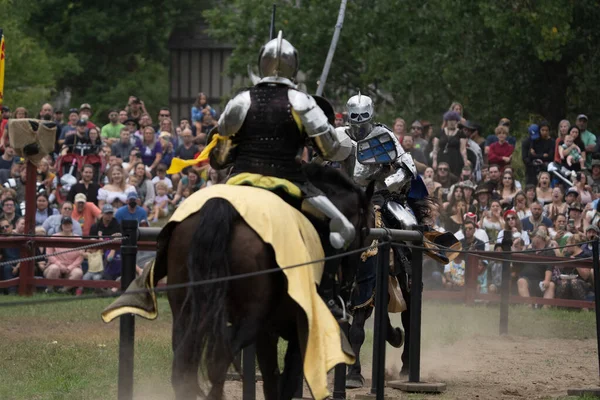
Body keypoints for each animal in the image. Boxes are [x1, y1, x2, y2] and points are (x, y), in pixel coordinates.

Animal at [157, 163, 376, 400]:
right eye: (365, 231)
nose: (350, 289)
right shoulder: (297, 331)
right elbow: (287, 381)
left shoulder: (266, 333)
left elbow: (272, 380)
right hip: (248, 320)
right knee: (217, 361)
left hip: (186, 312)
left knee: (183, 366)